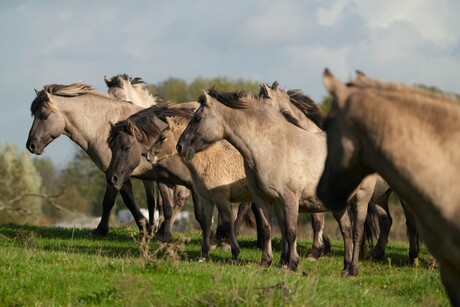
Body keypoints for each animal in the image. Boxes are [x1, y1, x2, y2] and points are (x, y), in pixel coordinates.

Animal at [145, 110, 330, 262]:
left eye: (162, 137)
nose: (147, 155)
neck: (210, 160)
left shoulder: (221, 198)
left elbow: (227, 222)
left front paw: (234, 252)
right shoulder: (206, 198)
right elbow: (205, 222)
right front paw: (203, 254)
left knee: (316, 219)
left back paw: (315, 252)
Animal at [176, 88, 388, 276]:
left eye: (197, 118)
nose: (180, 147)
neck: (272, 147)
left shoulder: (290, 199)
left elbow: (291, 231)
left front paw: (292, 264)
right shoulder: (264, 199)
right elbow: (269, 229)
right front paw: (268, 262)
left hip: (361, 199)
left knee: (357, 232)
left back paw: (353, 270)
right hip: (339, 205)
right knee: (346, 231)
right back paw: (344, 268)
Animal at [256, 82, 418, 264]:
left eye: (263, 101)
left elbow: (318, 222)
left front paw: (315, 252)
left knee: (410, 222)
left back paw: (412, 258)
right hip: (380, 196)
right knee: (386, 220)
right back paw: (377, 254)